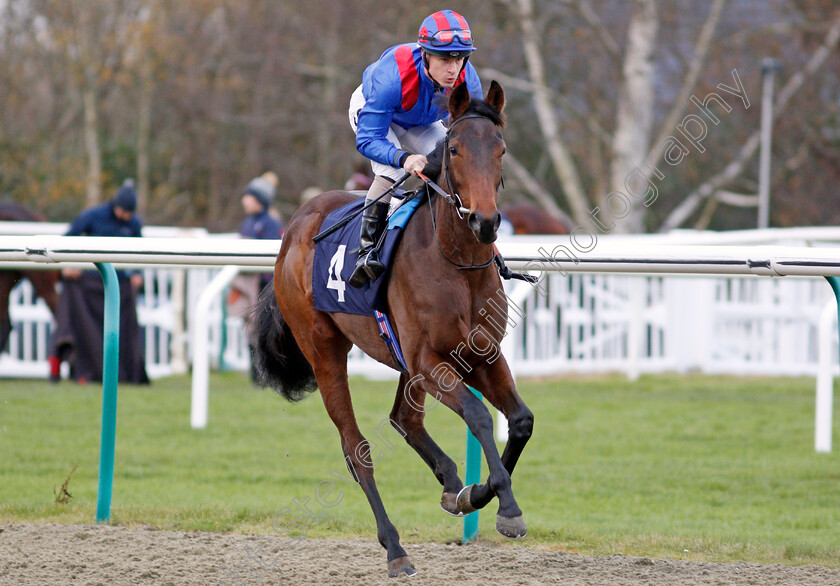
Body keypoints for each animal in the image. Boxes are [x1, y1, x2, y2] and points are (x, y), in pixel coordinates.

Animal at [253, 81, 536, 576]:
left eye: (501, 149)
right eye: (456, 150)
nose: (485, 221)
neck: (455, 262)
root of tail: (292, 229)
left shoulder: (480, 353)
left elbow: (519, 421)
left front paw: (476, 494)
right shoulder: (428, 360)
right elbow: (480, 415)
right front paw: (506, 506)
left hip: (401, 358)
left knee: (404, 418)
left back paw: (452, 484)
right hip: (323, 349)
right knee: (356, 449)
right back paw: (396, 548)